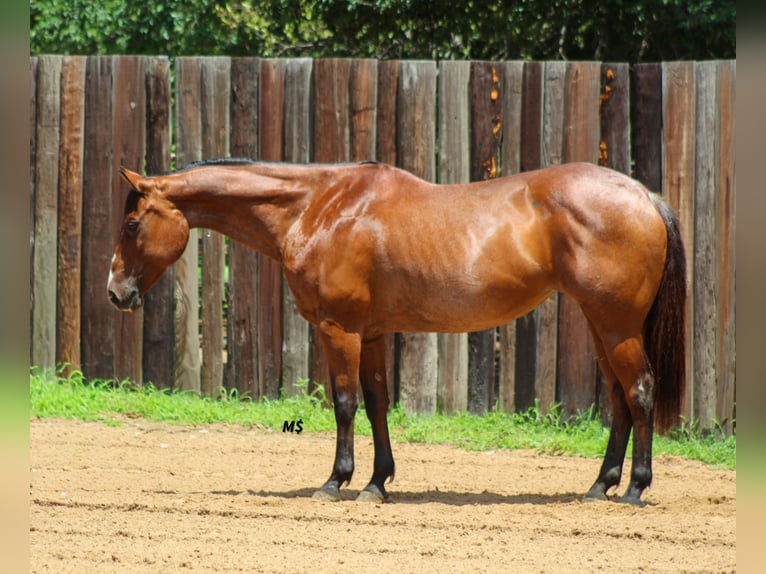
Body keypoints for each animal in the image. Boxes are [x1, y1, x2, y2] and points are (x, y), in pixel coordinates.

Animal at [108, 158, 686, 505]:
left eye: (132, 225)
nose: (115, 292)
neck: (317, 208)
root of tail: (644, 195)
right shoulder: (370, 334)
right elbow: (377, 402)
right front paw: (376, 482)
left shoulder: (338, 329)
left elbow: (344, 403)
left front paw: (335, 481)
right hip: (601, 325)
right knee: (619, 399)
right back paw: (599, 485)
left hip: (616, 326)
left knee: (639, 391)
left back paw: (634, 488)